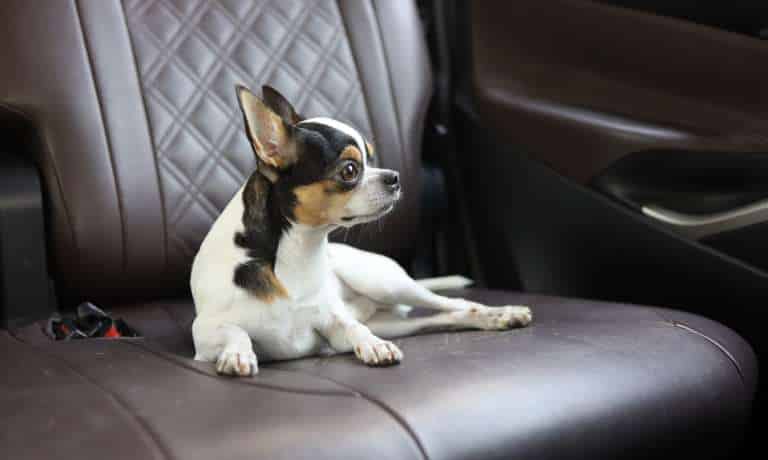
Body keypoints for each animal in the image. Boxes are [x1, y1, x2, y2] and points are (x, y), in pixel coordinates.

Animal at [189, 84, 532, 376]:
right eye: (350, 170)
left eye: (372, 156)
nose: (394, 177)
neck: (297, 254)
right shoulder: (202, 333)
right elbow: (235, 330)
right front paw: (237, 353)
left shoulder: (333, 322)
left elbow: (353, 327)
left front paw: (373, 346)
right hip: (393, 320)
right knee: (443, 318)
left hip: (385, 283)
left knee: (455, 304)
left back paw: (502, 313)